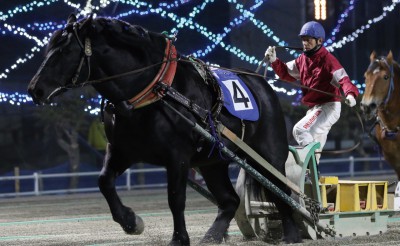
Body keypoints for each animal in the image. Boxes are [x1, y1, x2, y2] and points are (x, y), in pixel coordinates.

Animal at [28, 14, 302, 244]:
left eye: (64, 51)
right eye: (48, 49)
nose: (34, 89)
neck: (154, 91)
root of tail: (261, 83)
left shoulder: (177, 156)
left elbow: (175, 198)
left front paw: (179, 239)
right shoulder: (122, 152)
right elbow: (104, 181)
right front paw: (131, 222)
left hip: (269, 155)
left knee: (283, 192)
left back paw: (292, 233)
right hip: (212, 162)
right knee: (229, 201)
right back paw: (212, 236)